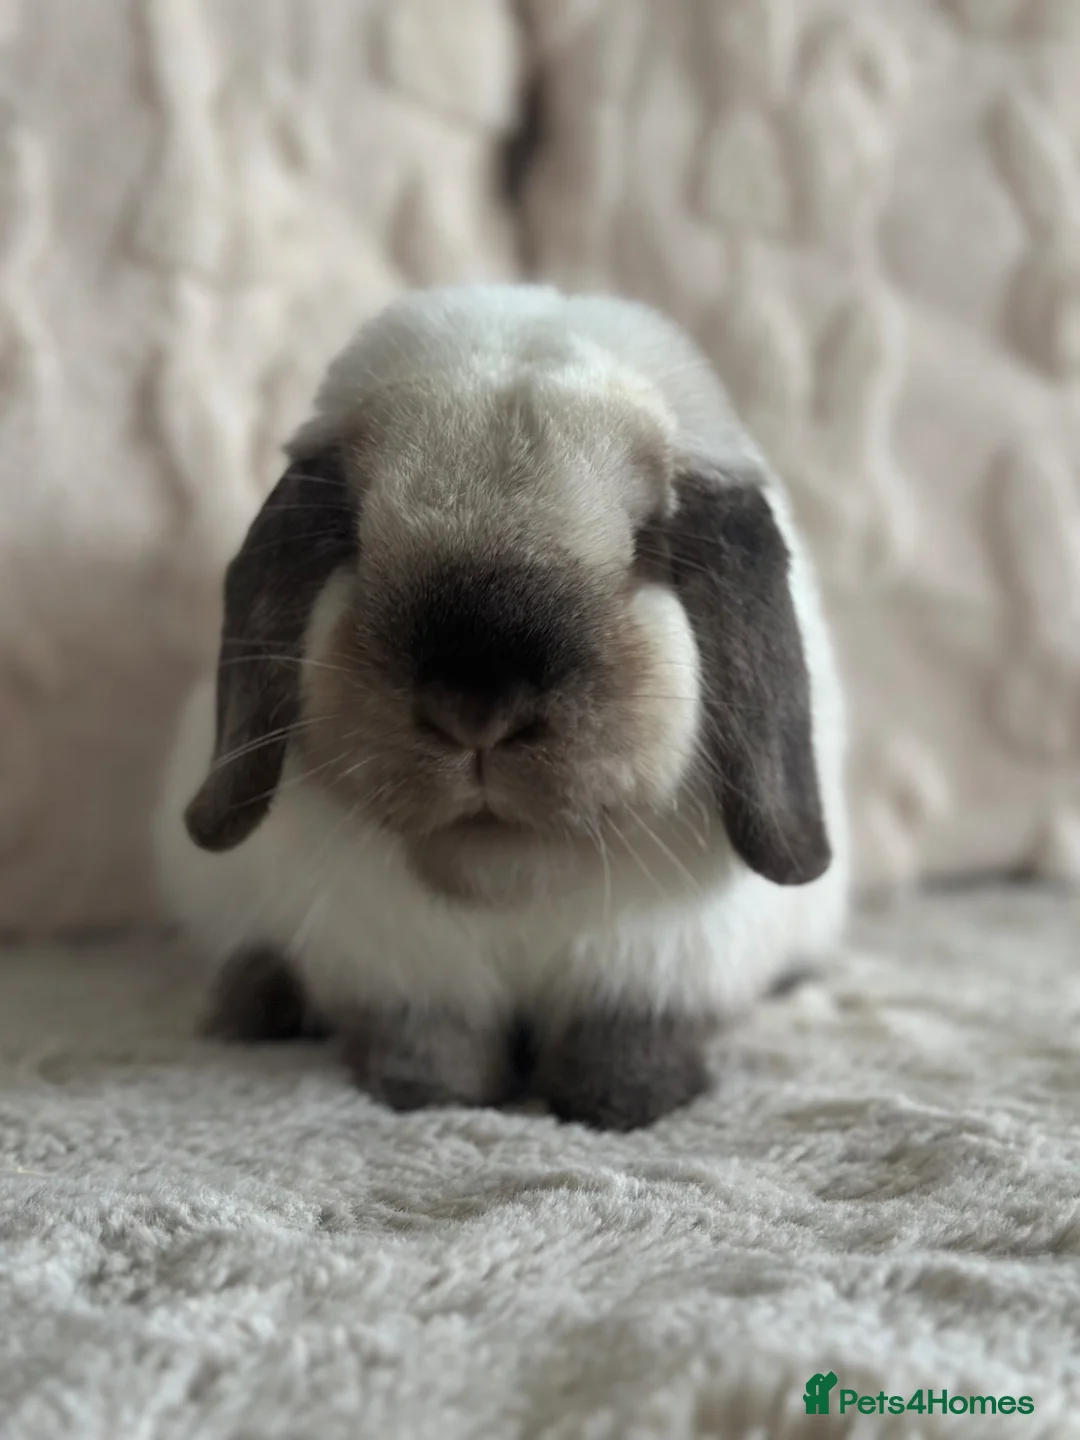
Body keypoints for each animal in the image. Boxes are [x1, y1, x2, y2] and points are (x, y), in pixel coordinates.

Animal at [153, 283, 850, 1131]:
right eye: (350, 536)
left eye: (651, 543)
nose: (476, 710)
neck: (509, 881)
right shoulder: (406, 978)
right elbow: (432, 1042)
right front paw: (427, 1095)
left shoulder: (652, 975)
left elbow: (624, 1037)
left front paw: (622, 1106)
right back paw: (249, 1007)